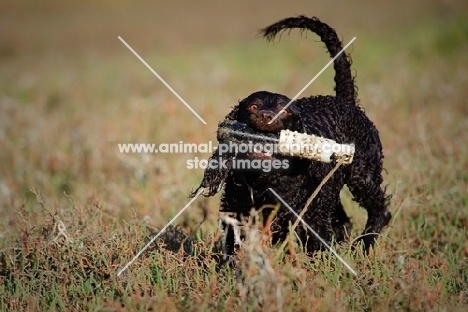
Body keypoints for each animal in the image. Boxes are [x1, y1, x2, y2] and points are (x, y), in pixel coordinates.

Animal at [190, 15, 392, 256]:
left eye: (284, 111)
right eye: (253, 106)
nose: (266, 116)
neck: (264, 182)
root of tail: (346, 102)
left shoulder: (310, 219)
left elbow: (317, 247)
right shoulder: (236, 214)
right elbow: (233, 247)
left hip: (362, 177)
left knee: (380, 209)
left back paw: (365, 244)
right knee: (343, 220)